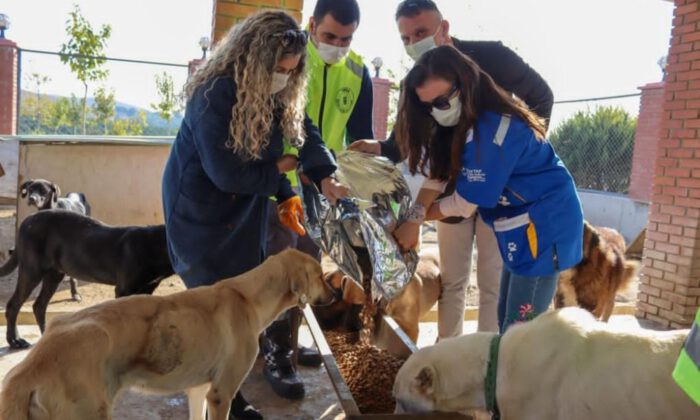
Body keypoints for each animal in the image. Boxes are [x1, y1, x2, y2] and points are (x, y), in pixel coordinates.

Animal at [0, 210, 174, 348]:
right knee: (13, 305)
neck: (155, 246)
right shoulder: (124, 290)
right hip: (32, 271)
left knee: (39, 305)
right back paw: (14, 341)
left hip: (54, 274)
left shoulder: (147, 288)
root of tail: (27, 220)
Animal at [0, 249, 336, 420]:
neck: (248, 296)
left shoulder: (199, 391)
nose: (333, 295)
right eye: (320, 275)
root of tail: (29, 370)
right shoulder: (220, 394)